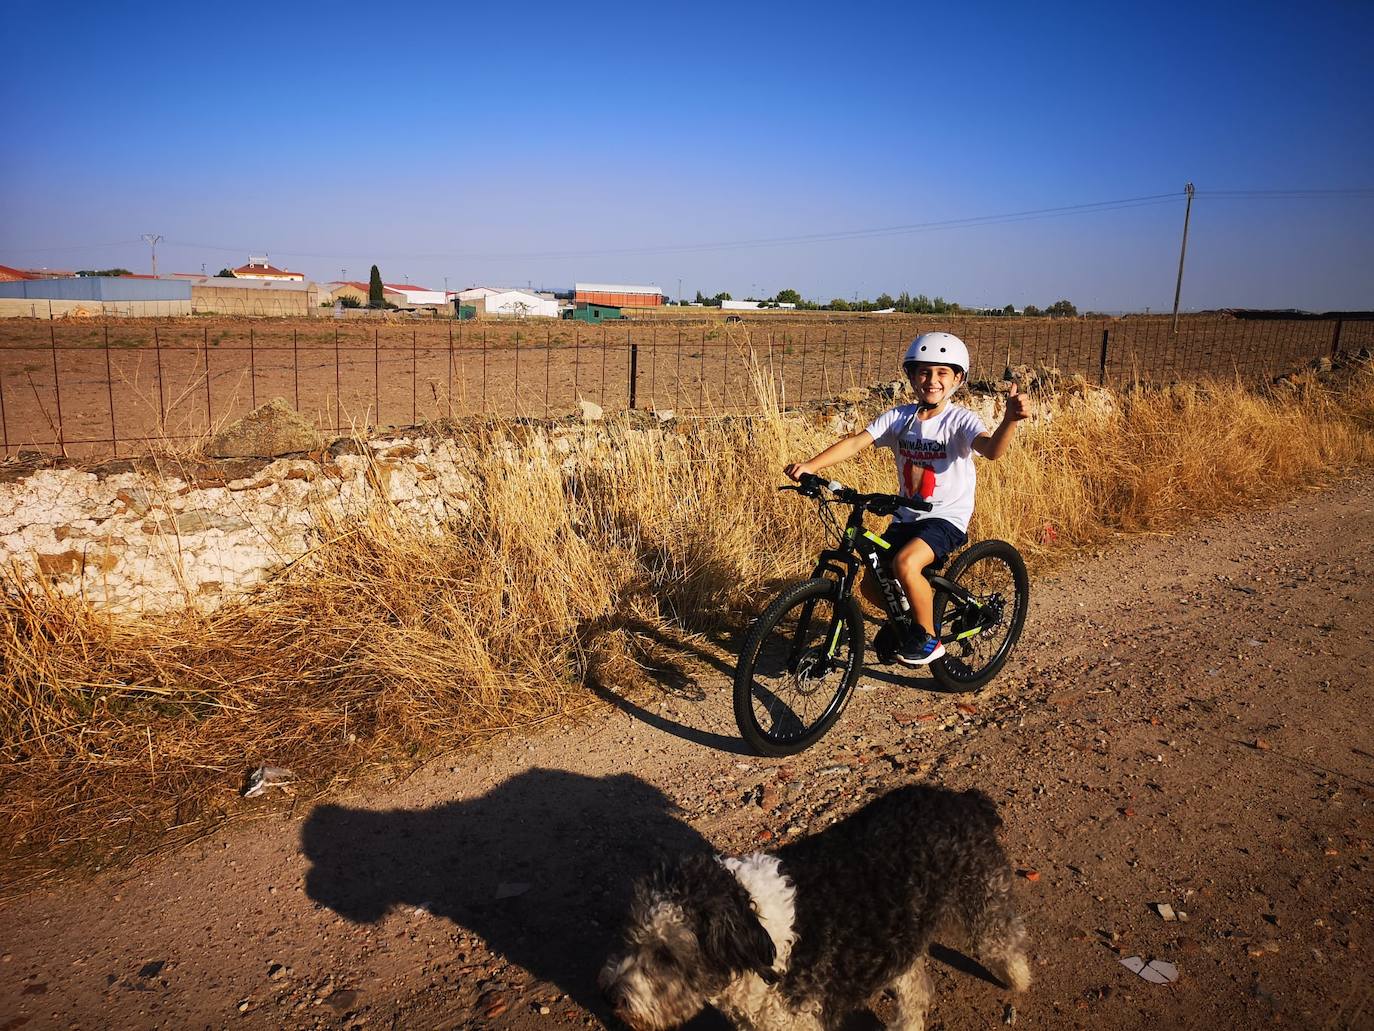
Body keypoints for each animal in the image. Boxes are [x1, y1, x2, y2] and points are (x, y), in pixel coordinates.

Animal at [596, 786, 1027, 1028]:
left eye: (666, 955)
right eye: (632, 940)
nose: (610, 997)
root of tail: (961, 799)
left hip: (984, 901)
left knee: (1006, 942)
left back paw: (1019, 980)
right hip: (901, 942)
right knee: (916, 994)